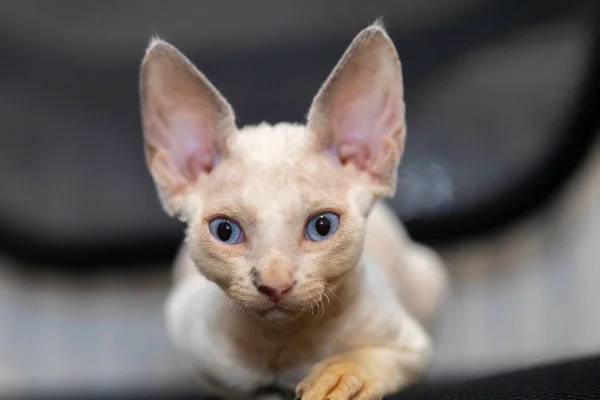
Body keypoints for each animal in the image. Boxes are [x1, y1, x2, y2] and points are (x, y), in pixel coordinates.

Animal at [139, 22, 446, 400]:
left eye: (322, 226)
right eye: (225, 231)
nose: (275, 285)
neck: (281, 344)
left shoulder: (413, 345)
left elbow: (380, 358)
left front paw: (339, 377)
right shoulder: (204, 362)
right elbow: (252, 392)